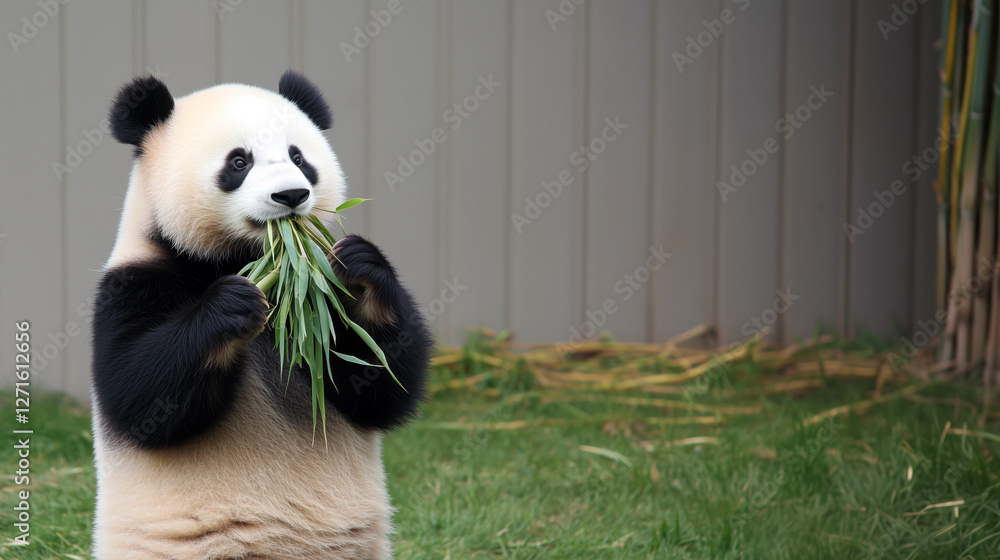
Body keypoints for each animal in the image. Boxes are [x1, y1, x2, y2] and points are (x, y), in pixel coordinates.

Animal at [90, 71, 431, 559]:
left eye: (298, 156)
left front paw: (361, 267)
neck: (244, 257)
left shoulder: (320, 302)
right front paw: (232, 305)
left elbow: (376, 385)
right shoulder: (132, 283)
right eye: (238, 162)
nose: (291, 194)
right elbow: (138, 396)